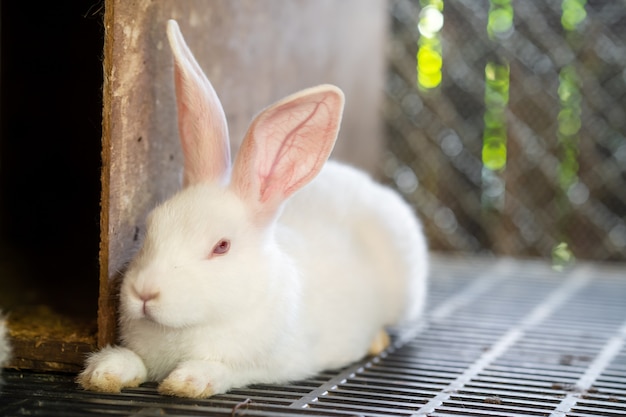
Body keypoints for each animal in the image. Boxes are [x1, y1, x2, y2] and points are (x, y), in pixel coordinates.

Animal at [78, 19, 426, 396]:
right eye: (150, 228)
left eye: (221, 246)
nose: (144, 292)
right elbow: (133, 361)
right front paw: (103, 373)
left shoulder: (262, 364)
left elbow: (221, 369)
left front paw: (186, 382)